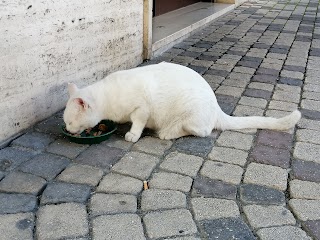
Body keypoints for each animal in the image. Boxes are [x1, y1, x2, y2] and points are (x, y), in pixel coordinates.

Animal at [63, 62, 302, 142]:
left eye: (70, 121)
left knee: (201, 132)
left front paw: (132, 134)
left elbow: (138, 122)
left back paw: (168, 132)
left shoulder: (142, 108)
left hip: (190, 114)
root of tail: (216, 108)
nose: (68, 129)